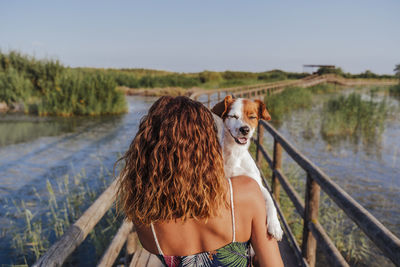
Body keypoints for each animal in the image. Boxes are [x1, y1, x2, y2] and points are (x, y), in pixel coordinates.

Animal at [211, 96, 282, 241]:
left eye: (252, 117)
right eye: (233, 116)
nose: (245, 129)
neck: (235, 153)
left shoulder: (257, 184)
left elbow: (271, 201)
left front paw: (275, 226)